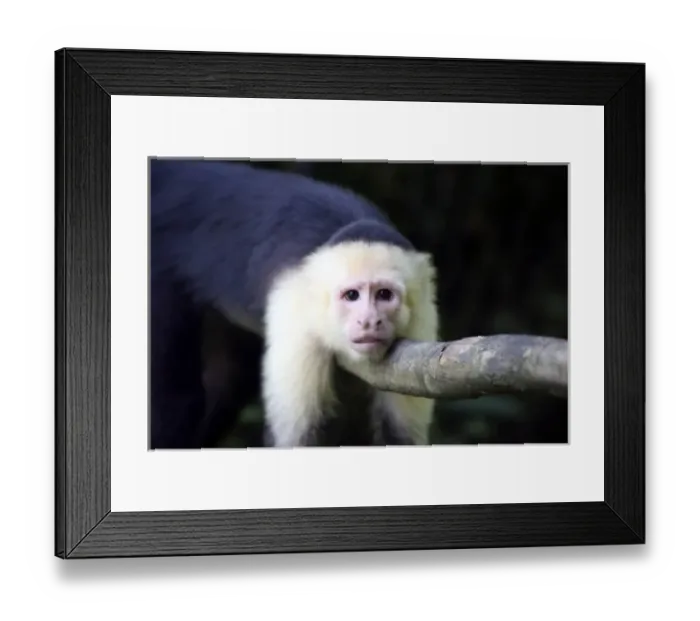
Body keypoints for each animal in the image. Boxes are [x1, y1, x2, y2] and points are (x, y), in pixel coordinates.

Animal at [148, 159, 439, 449]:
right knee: (178, 401)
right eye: (352, 296)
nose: (369, 321)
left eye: (384, 295)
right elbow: (295, 438)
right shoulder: (296, 315)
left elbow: (401, 436)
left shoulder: (422, 316)